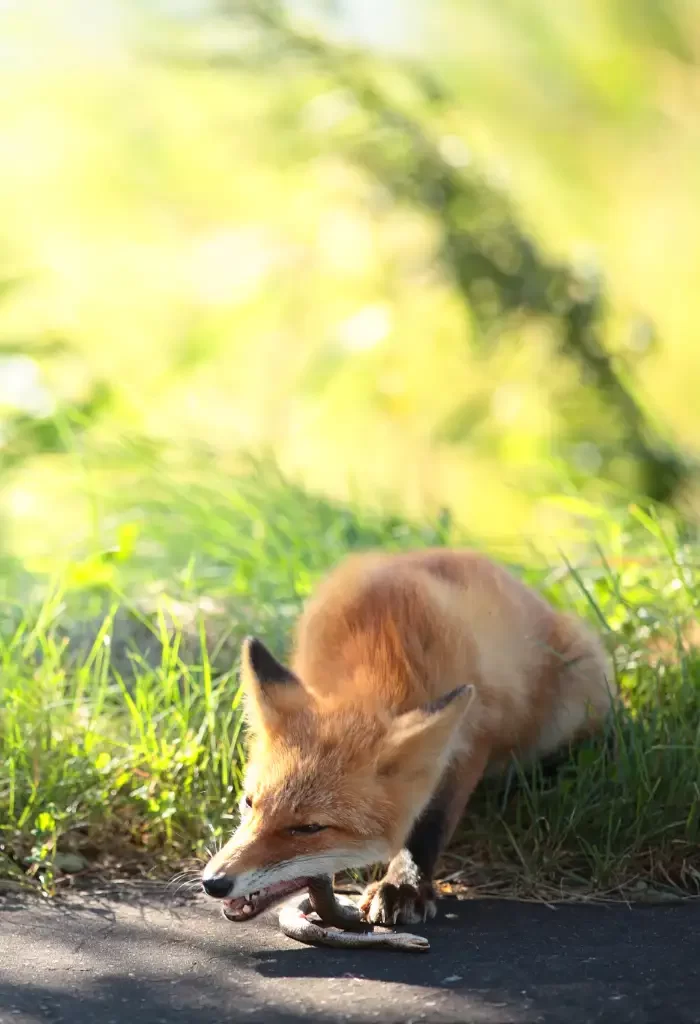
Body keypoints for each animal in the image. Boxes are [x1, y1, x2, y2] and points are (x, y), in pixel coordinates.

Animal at [200, 552, 614, 929]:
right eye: (249, 803)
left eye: (310, 828)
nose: (213, 883)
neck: (381, 642)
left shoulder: (470, 738)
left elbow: (429, 825)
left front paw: (405, 885)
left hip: (573, 697)